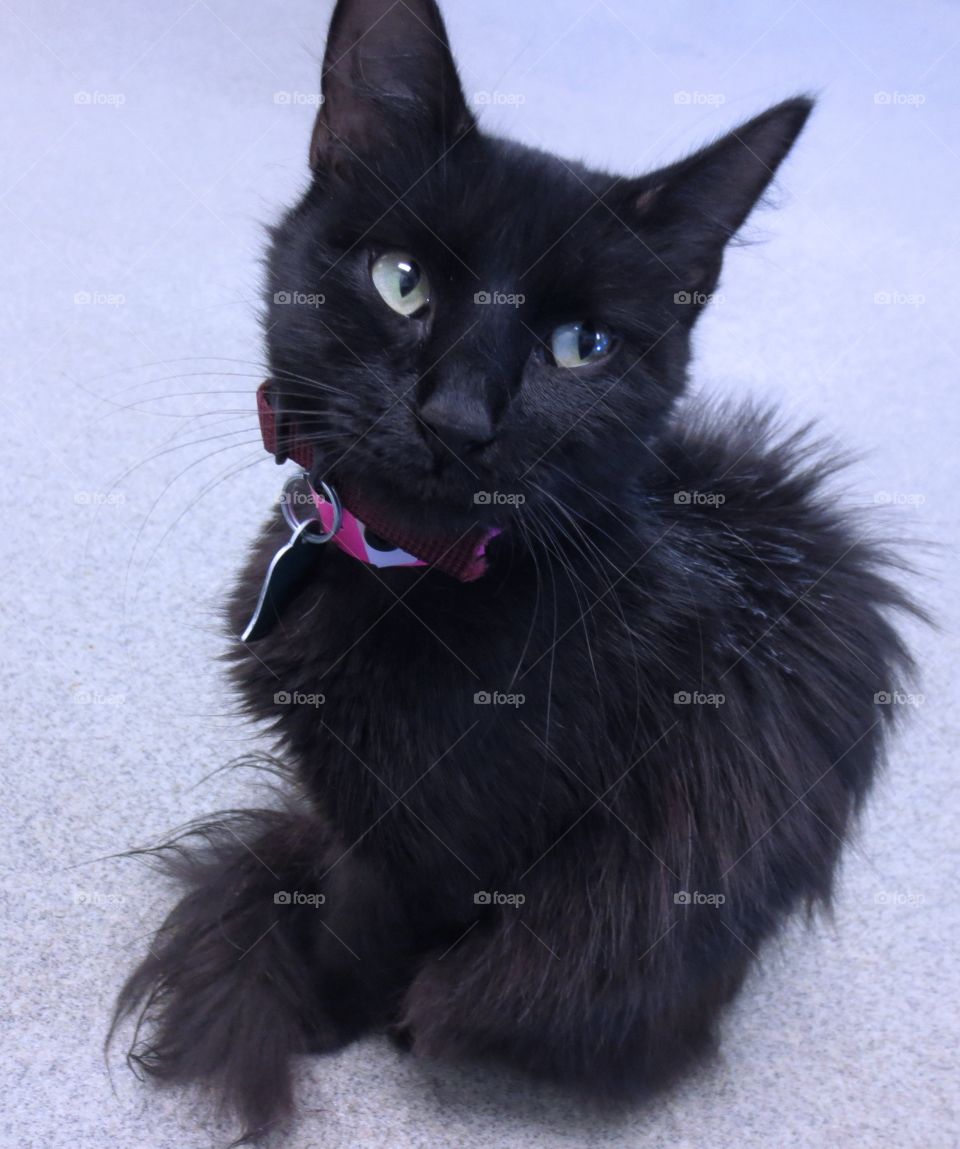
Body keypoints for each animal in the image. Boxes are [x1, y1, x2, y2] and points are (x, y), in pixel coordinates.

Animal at [112, 0, 914, 1139]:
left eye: (582, 346)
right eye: (401, 281)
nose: (457, 418)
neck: (411, 572)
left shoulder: (445, 846)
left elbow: (371, 925)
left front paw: (328, 1016)